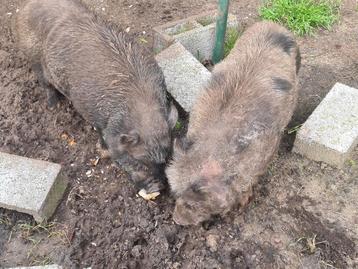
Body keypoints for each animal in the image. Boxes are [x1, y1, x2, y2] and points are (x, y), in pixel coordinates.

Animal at [15, 0, 178, 193]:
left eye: (165, 160)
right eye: (138, 162)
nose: (158, 187)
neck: (141, 104)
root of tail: (26, 7)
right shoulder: (89, 110)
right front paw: (103, 151)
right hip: (32, 56)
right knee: (44, 82)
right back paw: (54, 105)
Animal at [166, 21, 300, 224]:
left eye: (193, 203)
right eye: (176, 195)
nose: (176, 220)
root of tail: (272, 23)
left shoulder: (268, 149)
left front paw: (243, 204)